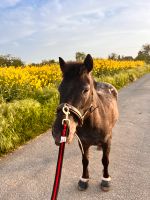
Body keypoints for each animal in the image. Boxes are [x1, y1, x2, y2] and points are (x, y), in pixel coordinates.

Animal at [52, 54, 119, 191]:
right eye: (60, 89)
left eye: (85, 90)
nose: (59, 131)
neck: (93, 124)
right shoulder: (83, 143)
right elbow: (85, 160)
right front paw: (84, 179)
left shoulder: (107, 140)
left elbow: (105, 160)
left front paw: (105, 179)